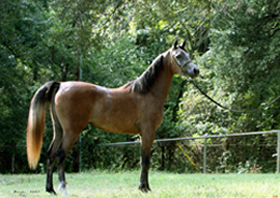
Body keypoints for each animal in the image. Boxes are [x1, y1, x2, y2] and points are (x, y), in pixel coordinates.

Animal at [26, 39, 199, 196]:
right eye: (178, 56)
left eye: (188, 54)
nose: (195, 70)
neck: (147, 93)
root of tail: (61, 85)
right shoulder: (148, 132)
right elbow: (145, 161)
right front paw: (143, 188)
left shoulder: (144, 134)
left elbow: (145, 161)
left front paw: (146, 187)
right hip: (71, 131)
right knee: (60, 155)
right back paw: (63, 188)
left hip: (59, 130)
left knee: (50, 155)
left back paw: (50, 189)